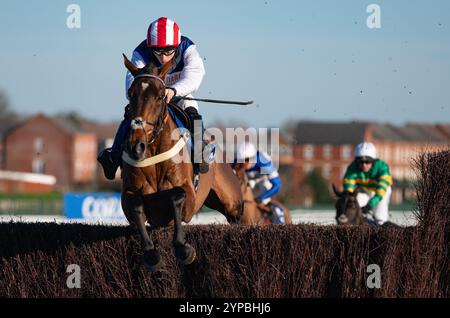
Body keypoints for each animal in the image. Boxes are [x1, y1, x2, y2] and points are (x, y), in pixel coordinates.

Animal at [120, 54, 243, 270]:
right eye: (130, 94)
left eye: (161, 96)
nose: (136, 145)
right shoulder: (127, 196)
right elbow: (135, 204)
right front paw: (151, 253)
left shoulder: (189, 197)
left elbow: (176, 195)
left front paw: (182, 247)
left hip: (233, 202)